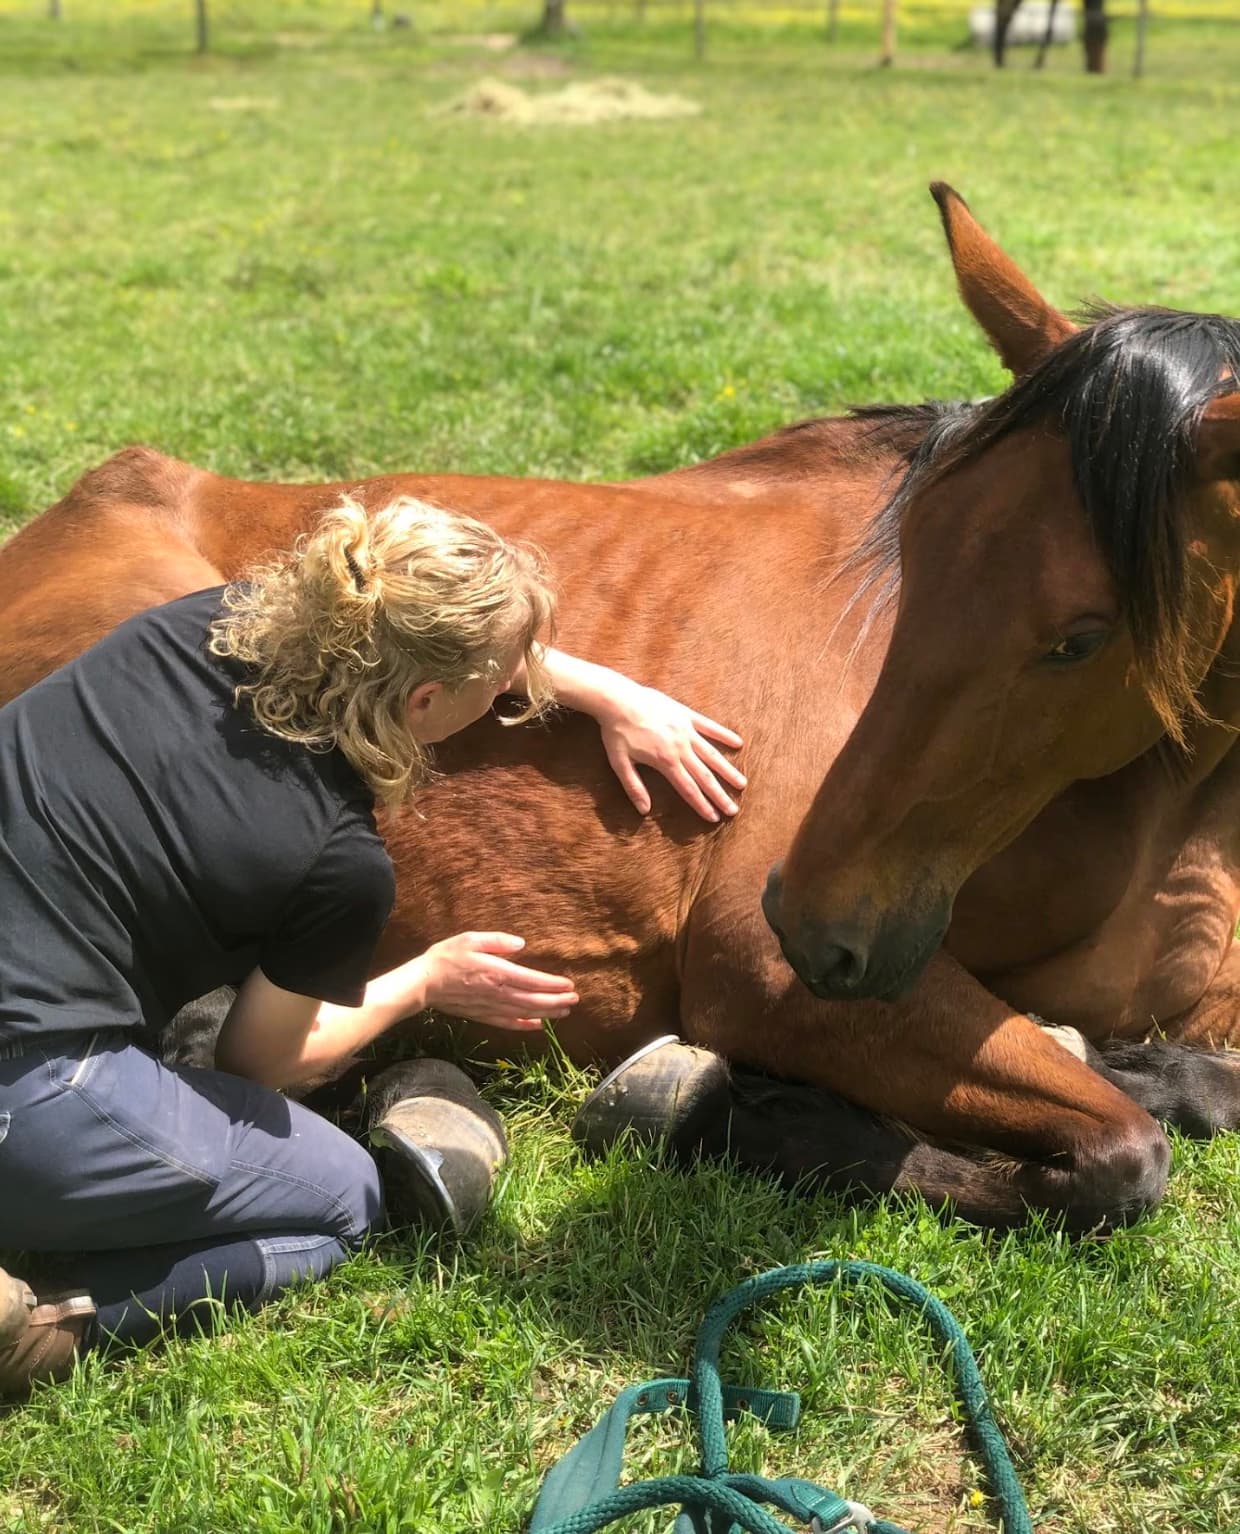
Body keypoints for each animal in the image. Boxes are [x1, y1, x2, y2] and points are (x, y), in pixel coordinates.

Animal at [3, 183, 1239, 1233]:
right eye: (911, 551)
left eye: (1079, 636)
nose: (812, 925)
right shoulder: (758, 971)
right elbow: (1123, 1154)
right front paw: (735, 1106)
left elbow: (1177, 1092)